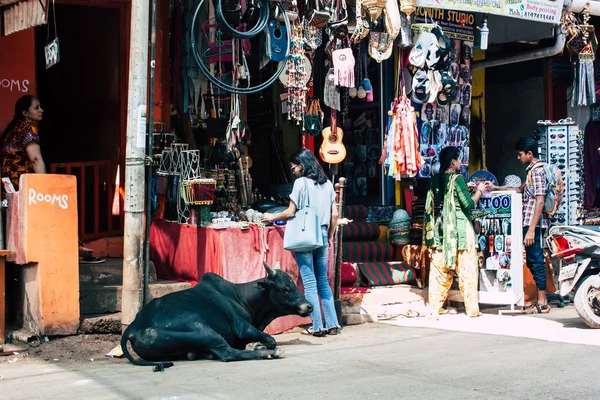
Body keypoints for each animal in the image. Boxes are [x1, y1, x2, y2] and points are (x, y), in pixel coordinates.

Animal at [119, 262, 312, 372]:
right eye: (284, 288)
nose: (309, 306)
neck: (242, 297)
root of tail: (133, 326)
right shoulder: (242, 327)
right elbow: (270, 339)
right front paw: (259, 345)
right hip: (203, 330)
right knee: (228, 353)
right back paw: (268, 353)